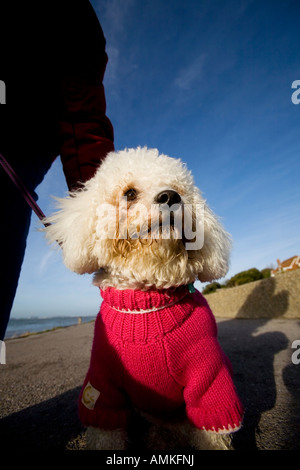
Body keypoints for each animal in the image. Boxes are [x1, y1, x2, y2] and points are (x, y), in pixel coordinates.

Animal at [44, 147, 243, 448]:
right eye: (129, 193)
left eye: (179, 190)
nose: (170, 196)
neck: (146, 308)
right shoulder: (102, 387)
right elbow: (105, 430)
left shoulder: (210, 379)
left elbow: (212, 428)